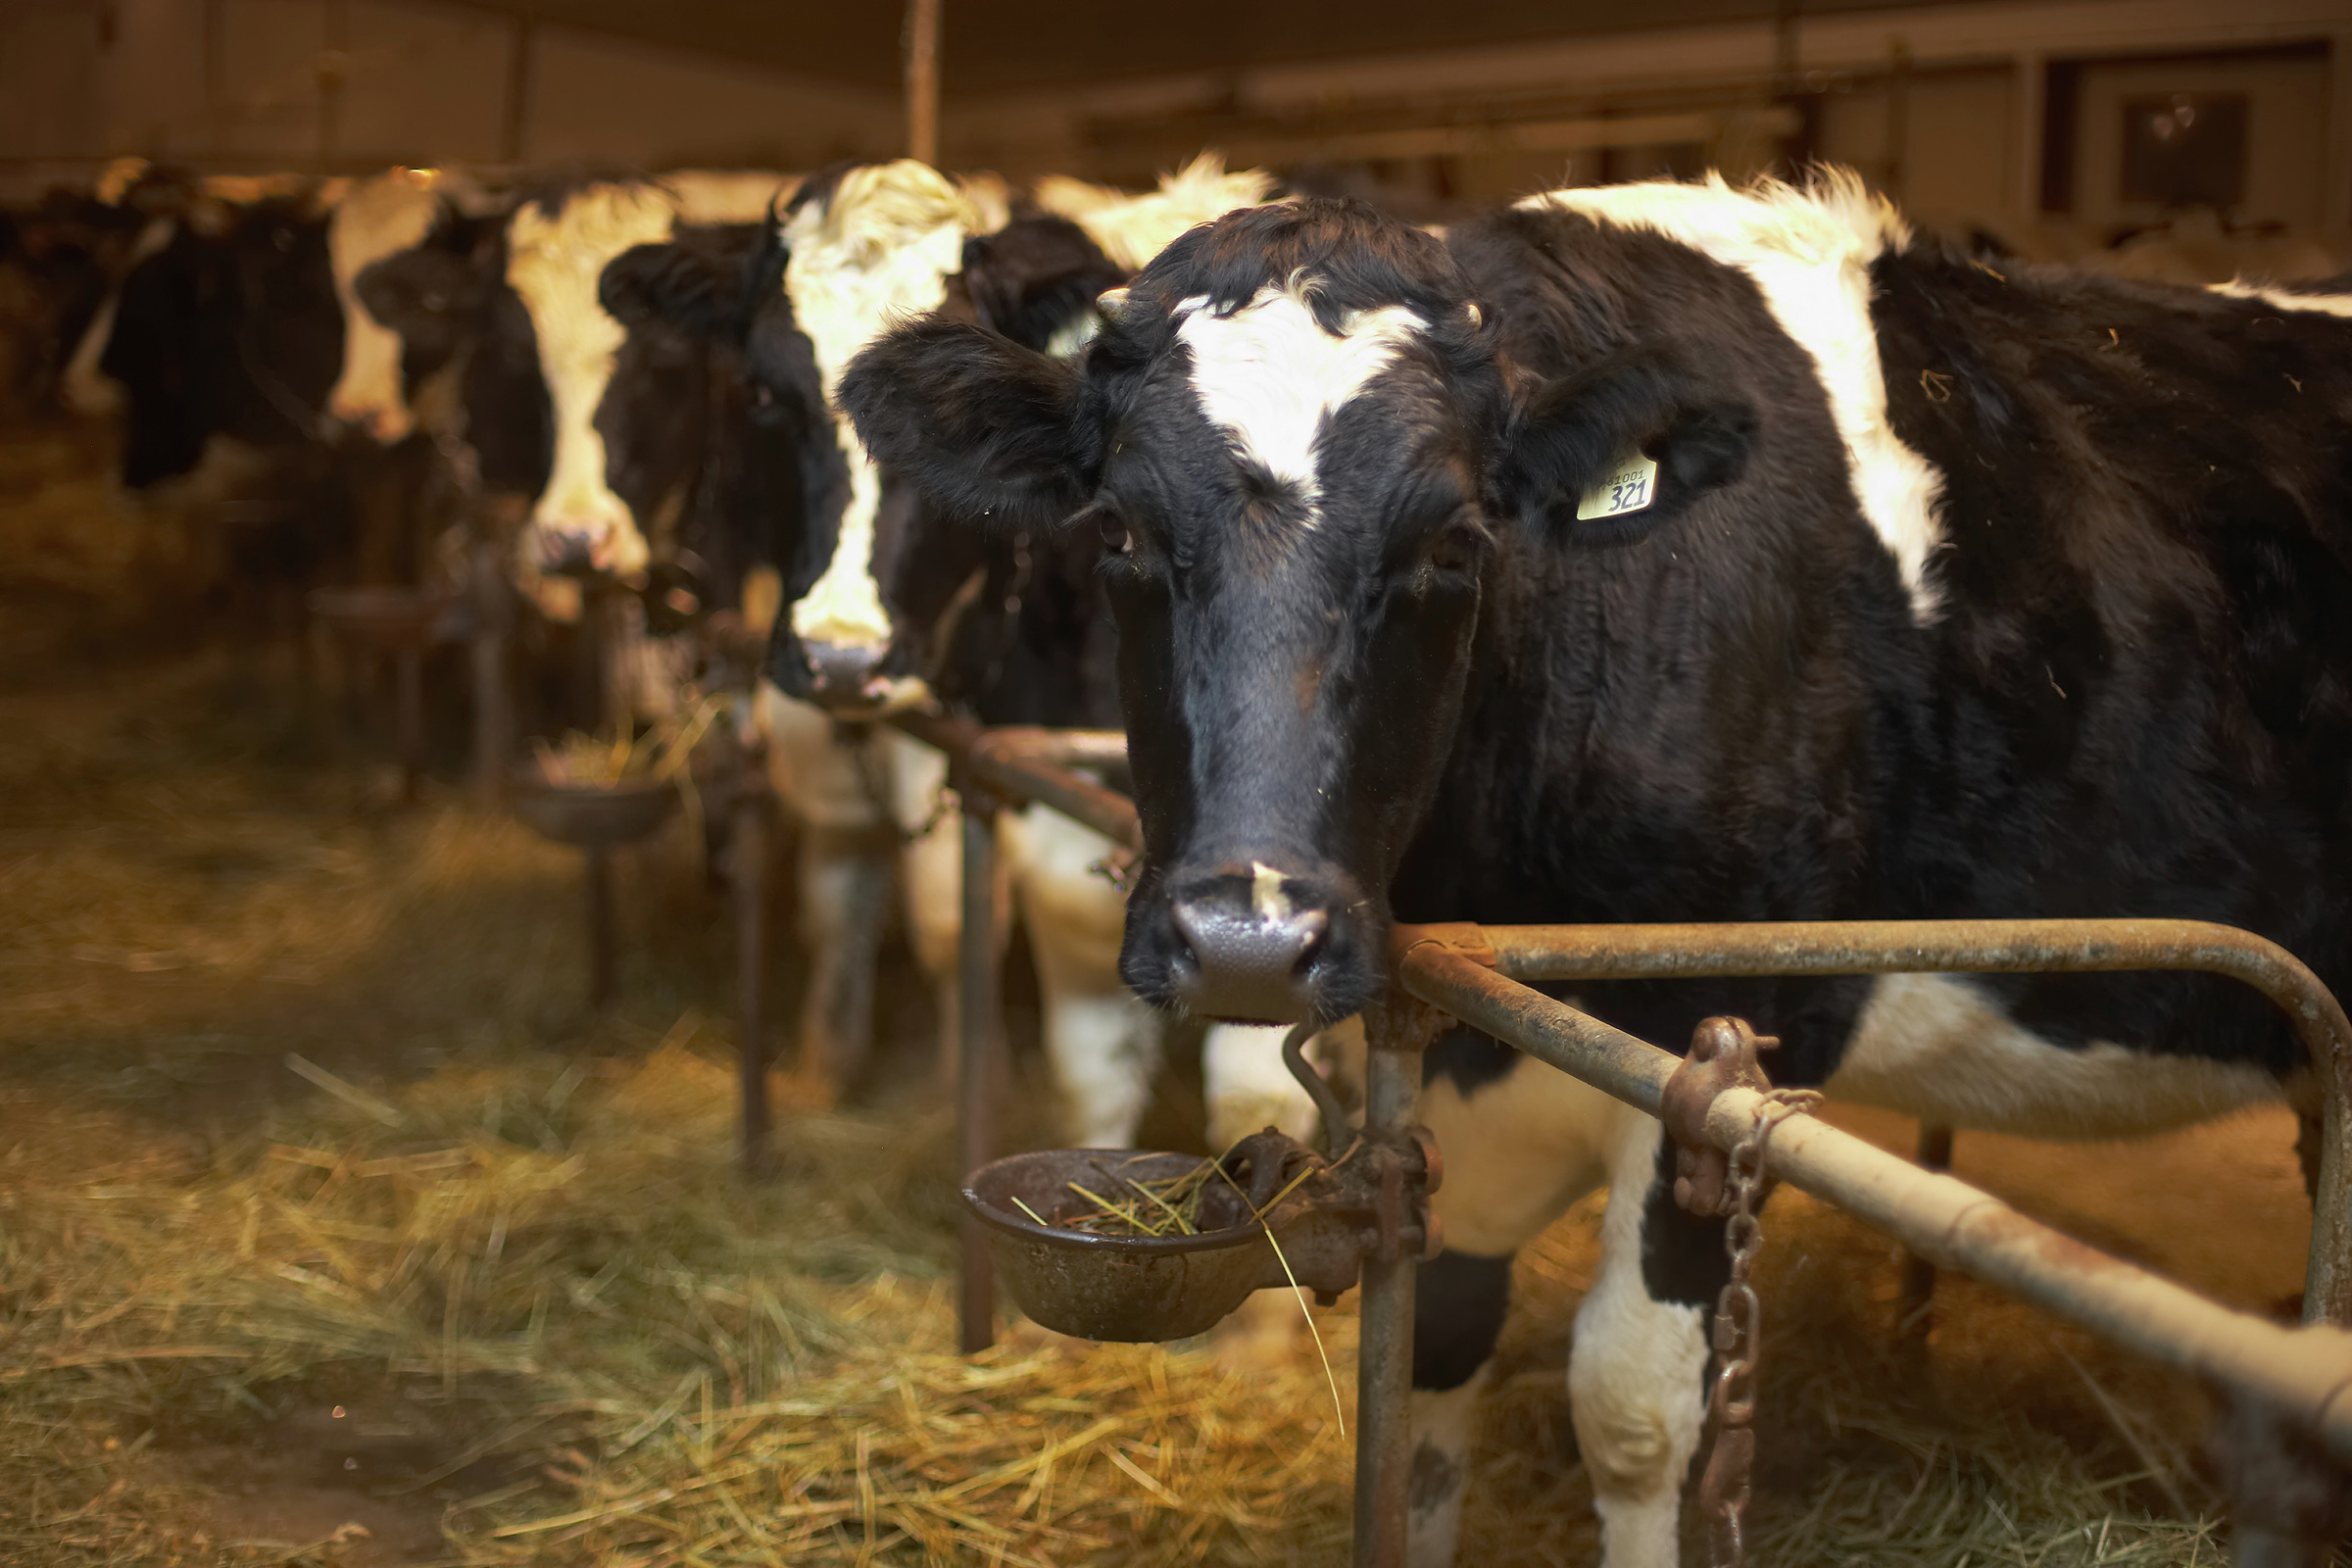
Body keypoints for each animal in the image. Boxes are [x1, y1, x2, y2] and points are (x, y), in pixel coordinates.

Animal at [835, 171, 2352, 1566]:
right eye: (1120, 533)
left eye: (1455, 542)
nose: (1249, 940)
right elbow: (1432, 1360)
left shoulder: (1724, 1046)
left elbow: (1629, 1412)